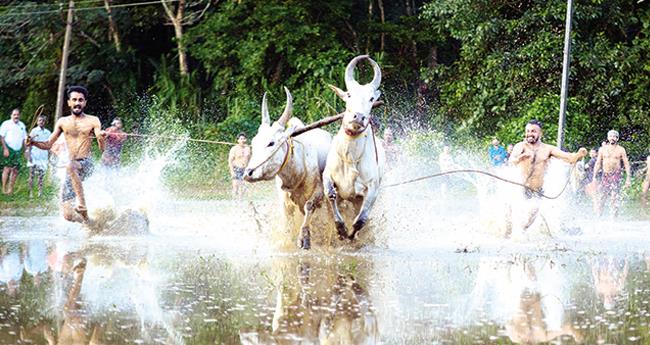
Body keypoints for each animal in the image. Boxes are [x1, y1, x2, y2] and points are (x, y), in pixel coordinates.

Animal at [244, 86, 332, 247]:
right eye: (254, 142)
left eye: (271, 143)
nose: (248, 173)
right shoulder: (284, 200)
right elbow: (288, 222)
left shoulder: (319, 192)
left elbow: (309, 206)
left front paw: (304, 237)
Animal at [320, 55, 382, 241]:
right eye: (349, 94)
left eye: (371, 99)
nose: (358, 117)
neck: (350, 155)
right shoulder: (327, 176)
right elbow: (330, 194)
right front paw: (340, 229)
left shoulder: (372, 188)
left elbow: (361, 219)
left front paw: (351, 234)